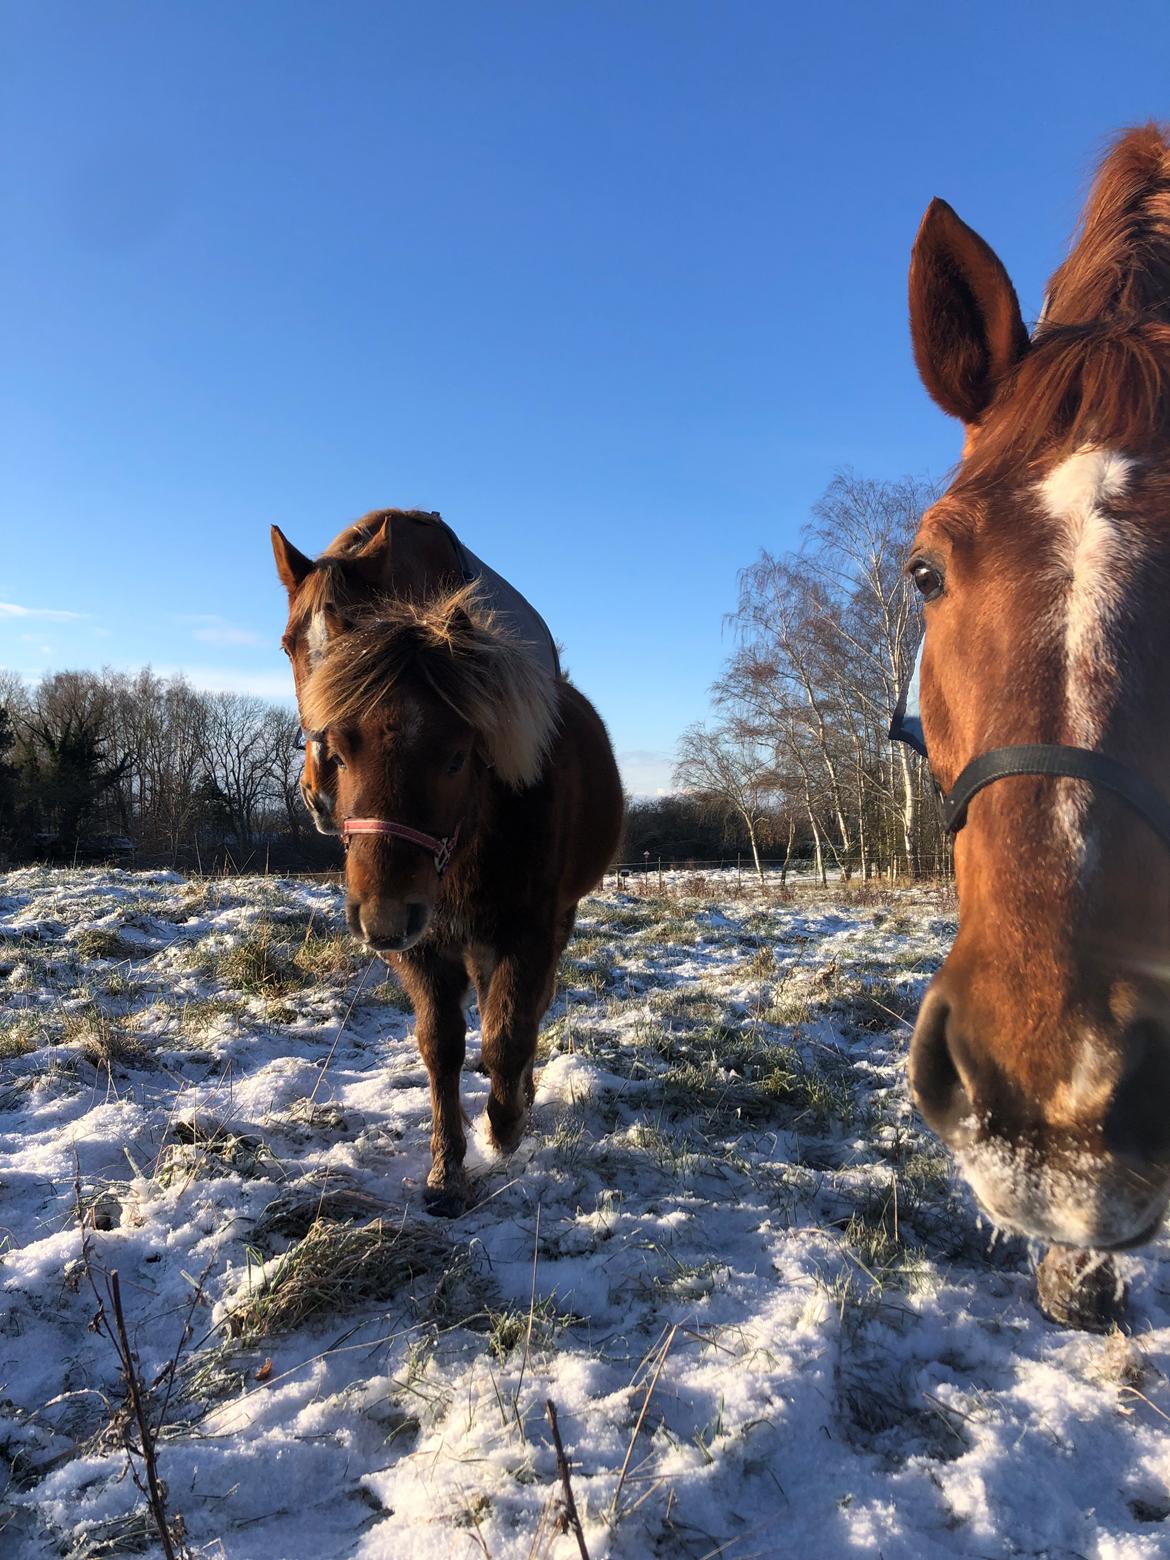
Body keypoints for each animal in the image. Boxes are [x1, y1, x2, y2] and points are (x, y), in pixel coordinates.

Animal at [277, 555, 624, 1210]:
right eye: (340, 752)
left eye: (457, 757)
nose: (384, 919)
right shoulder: (428, 948)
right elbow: (441, 1046)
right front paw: (446, 1167)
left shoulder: (527, 933)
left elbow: (509, 1033)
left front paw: (504, 1129)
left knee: (528, 1011)